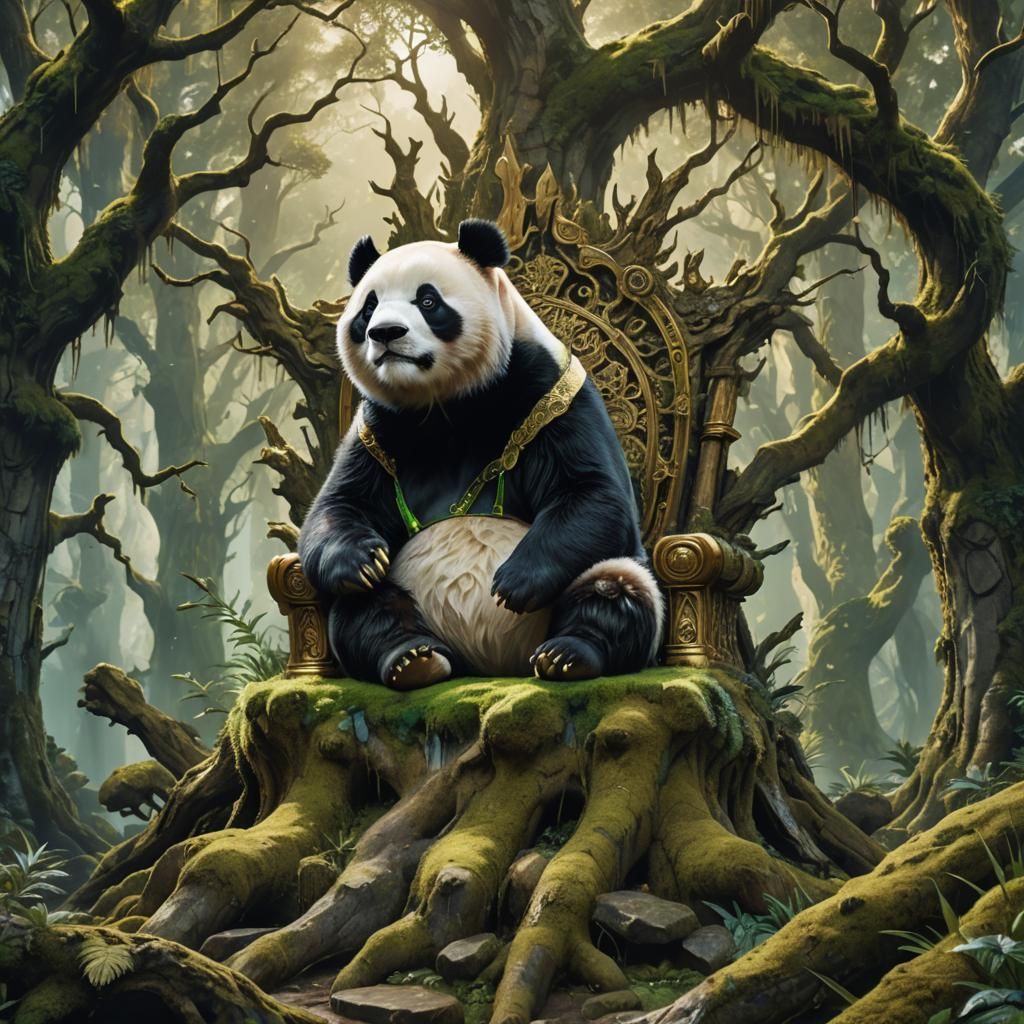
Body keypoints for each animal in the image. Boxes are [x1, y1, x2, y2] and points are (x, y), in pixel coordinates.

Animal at [297, 219, 664, 689]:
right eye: (369, 308)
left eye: (428, 300)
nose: (385, 333)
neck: (446, 405)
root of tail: (490, 664)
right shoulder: (378, 428)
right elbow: (341, 503)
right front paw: (361, 560)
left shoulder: (550, 395)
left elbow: (594, 493)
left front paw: (513, 582)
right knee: (362, 607)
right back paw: (412, 658)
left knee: (616, 587)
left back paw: (569, 655)